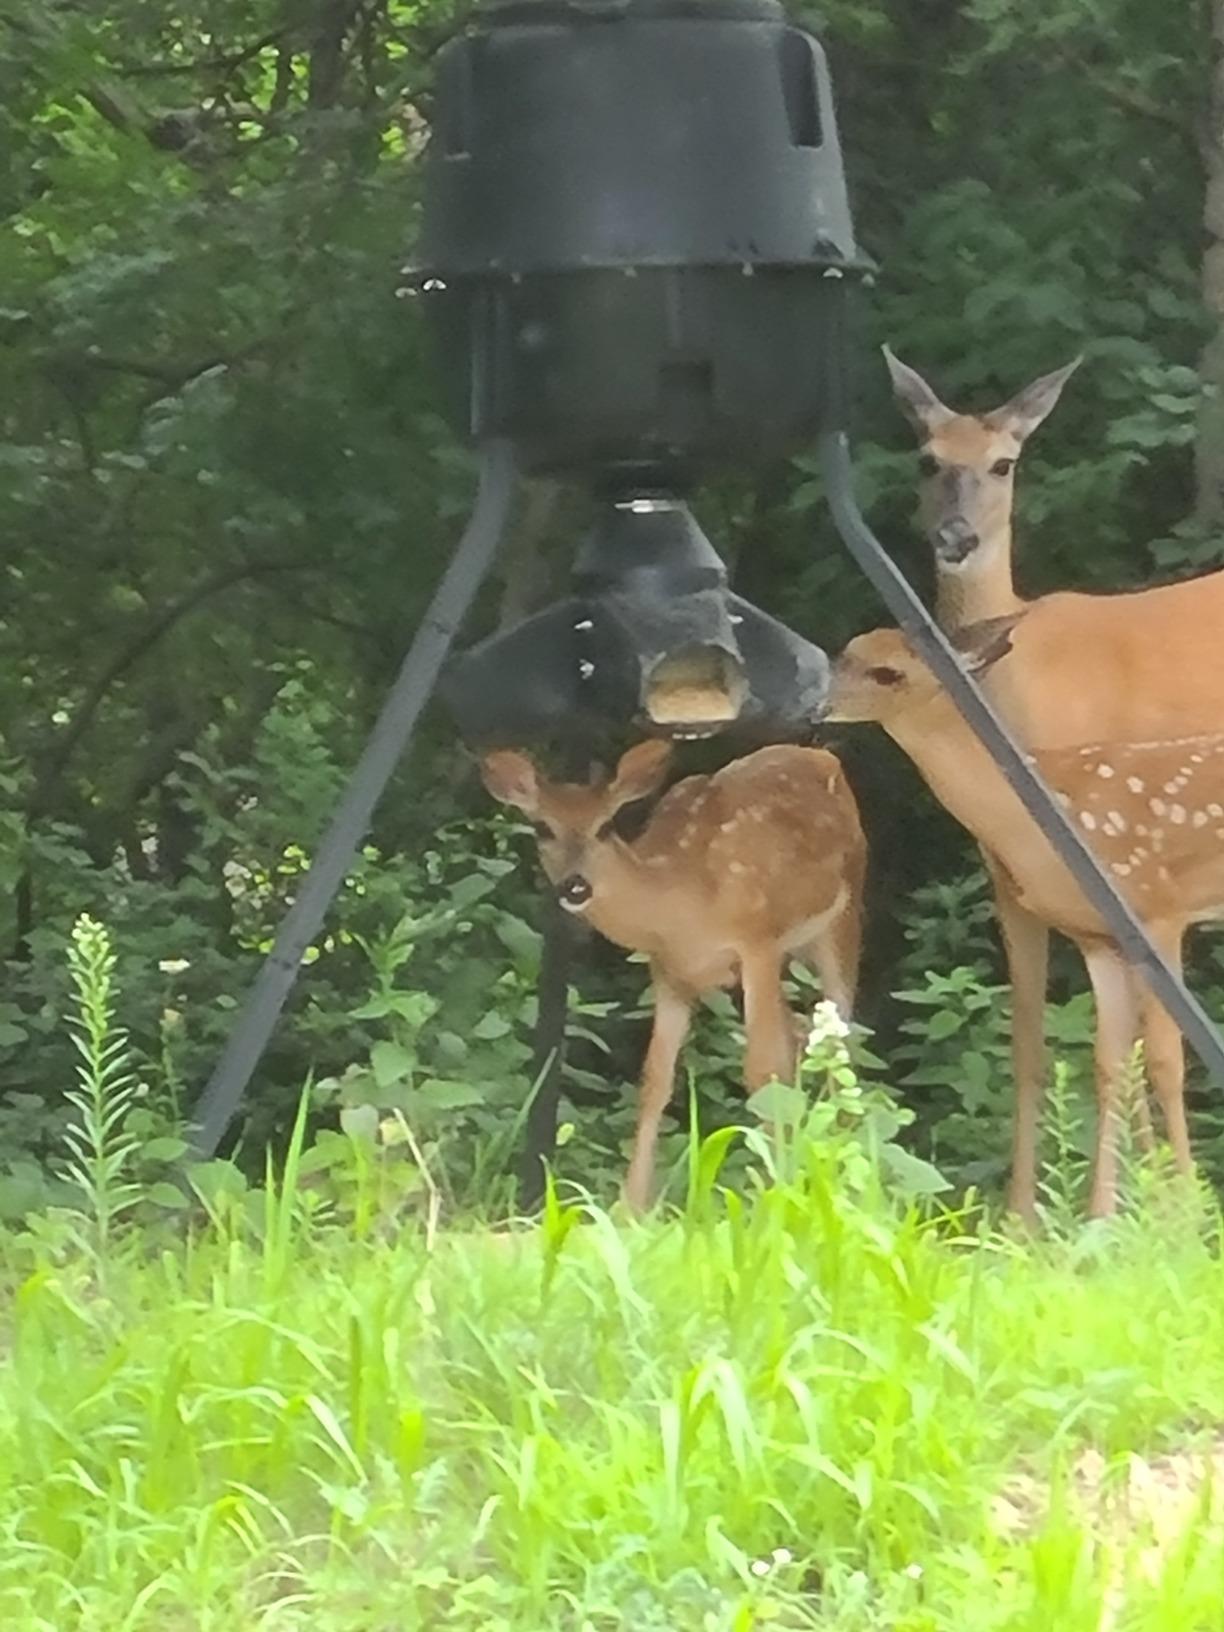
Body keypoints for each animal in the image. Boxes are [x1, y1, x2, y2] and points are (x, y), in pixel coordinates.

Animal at [479, 739, 866, 1211]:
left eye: (606, 826)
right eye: (542, 827)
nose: (575, 887)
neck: (682, 898)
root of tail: (820, 755)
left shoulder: (757, 942)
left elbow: (759, 1070)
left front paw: (774, 1193)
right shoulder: (669, 973)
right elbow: (654, 1081)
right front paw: (631, 1206)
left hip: (844, 914)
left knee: (841, 1038)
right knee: (796, 1038)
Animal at [825, 619, 1224, 1219]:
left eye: (888, 672)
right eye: (848, 651)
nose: (818, 703)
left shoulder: (1157, 910)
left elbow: (1166, 1061)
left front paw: (1186, 1214)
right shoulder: (1099, 939)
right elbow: (1109, 1066)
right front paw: (1101, 1217)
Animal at [882, 348, 1224, 1219]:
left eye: (1004, 462)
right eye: (927, 459)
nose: (957, 537)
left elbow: (1143, 1046)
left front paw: (1154, 1206)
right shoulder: (1006, 873)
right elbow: (1032, 1039)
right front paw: (1022, 1218)